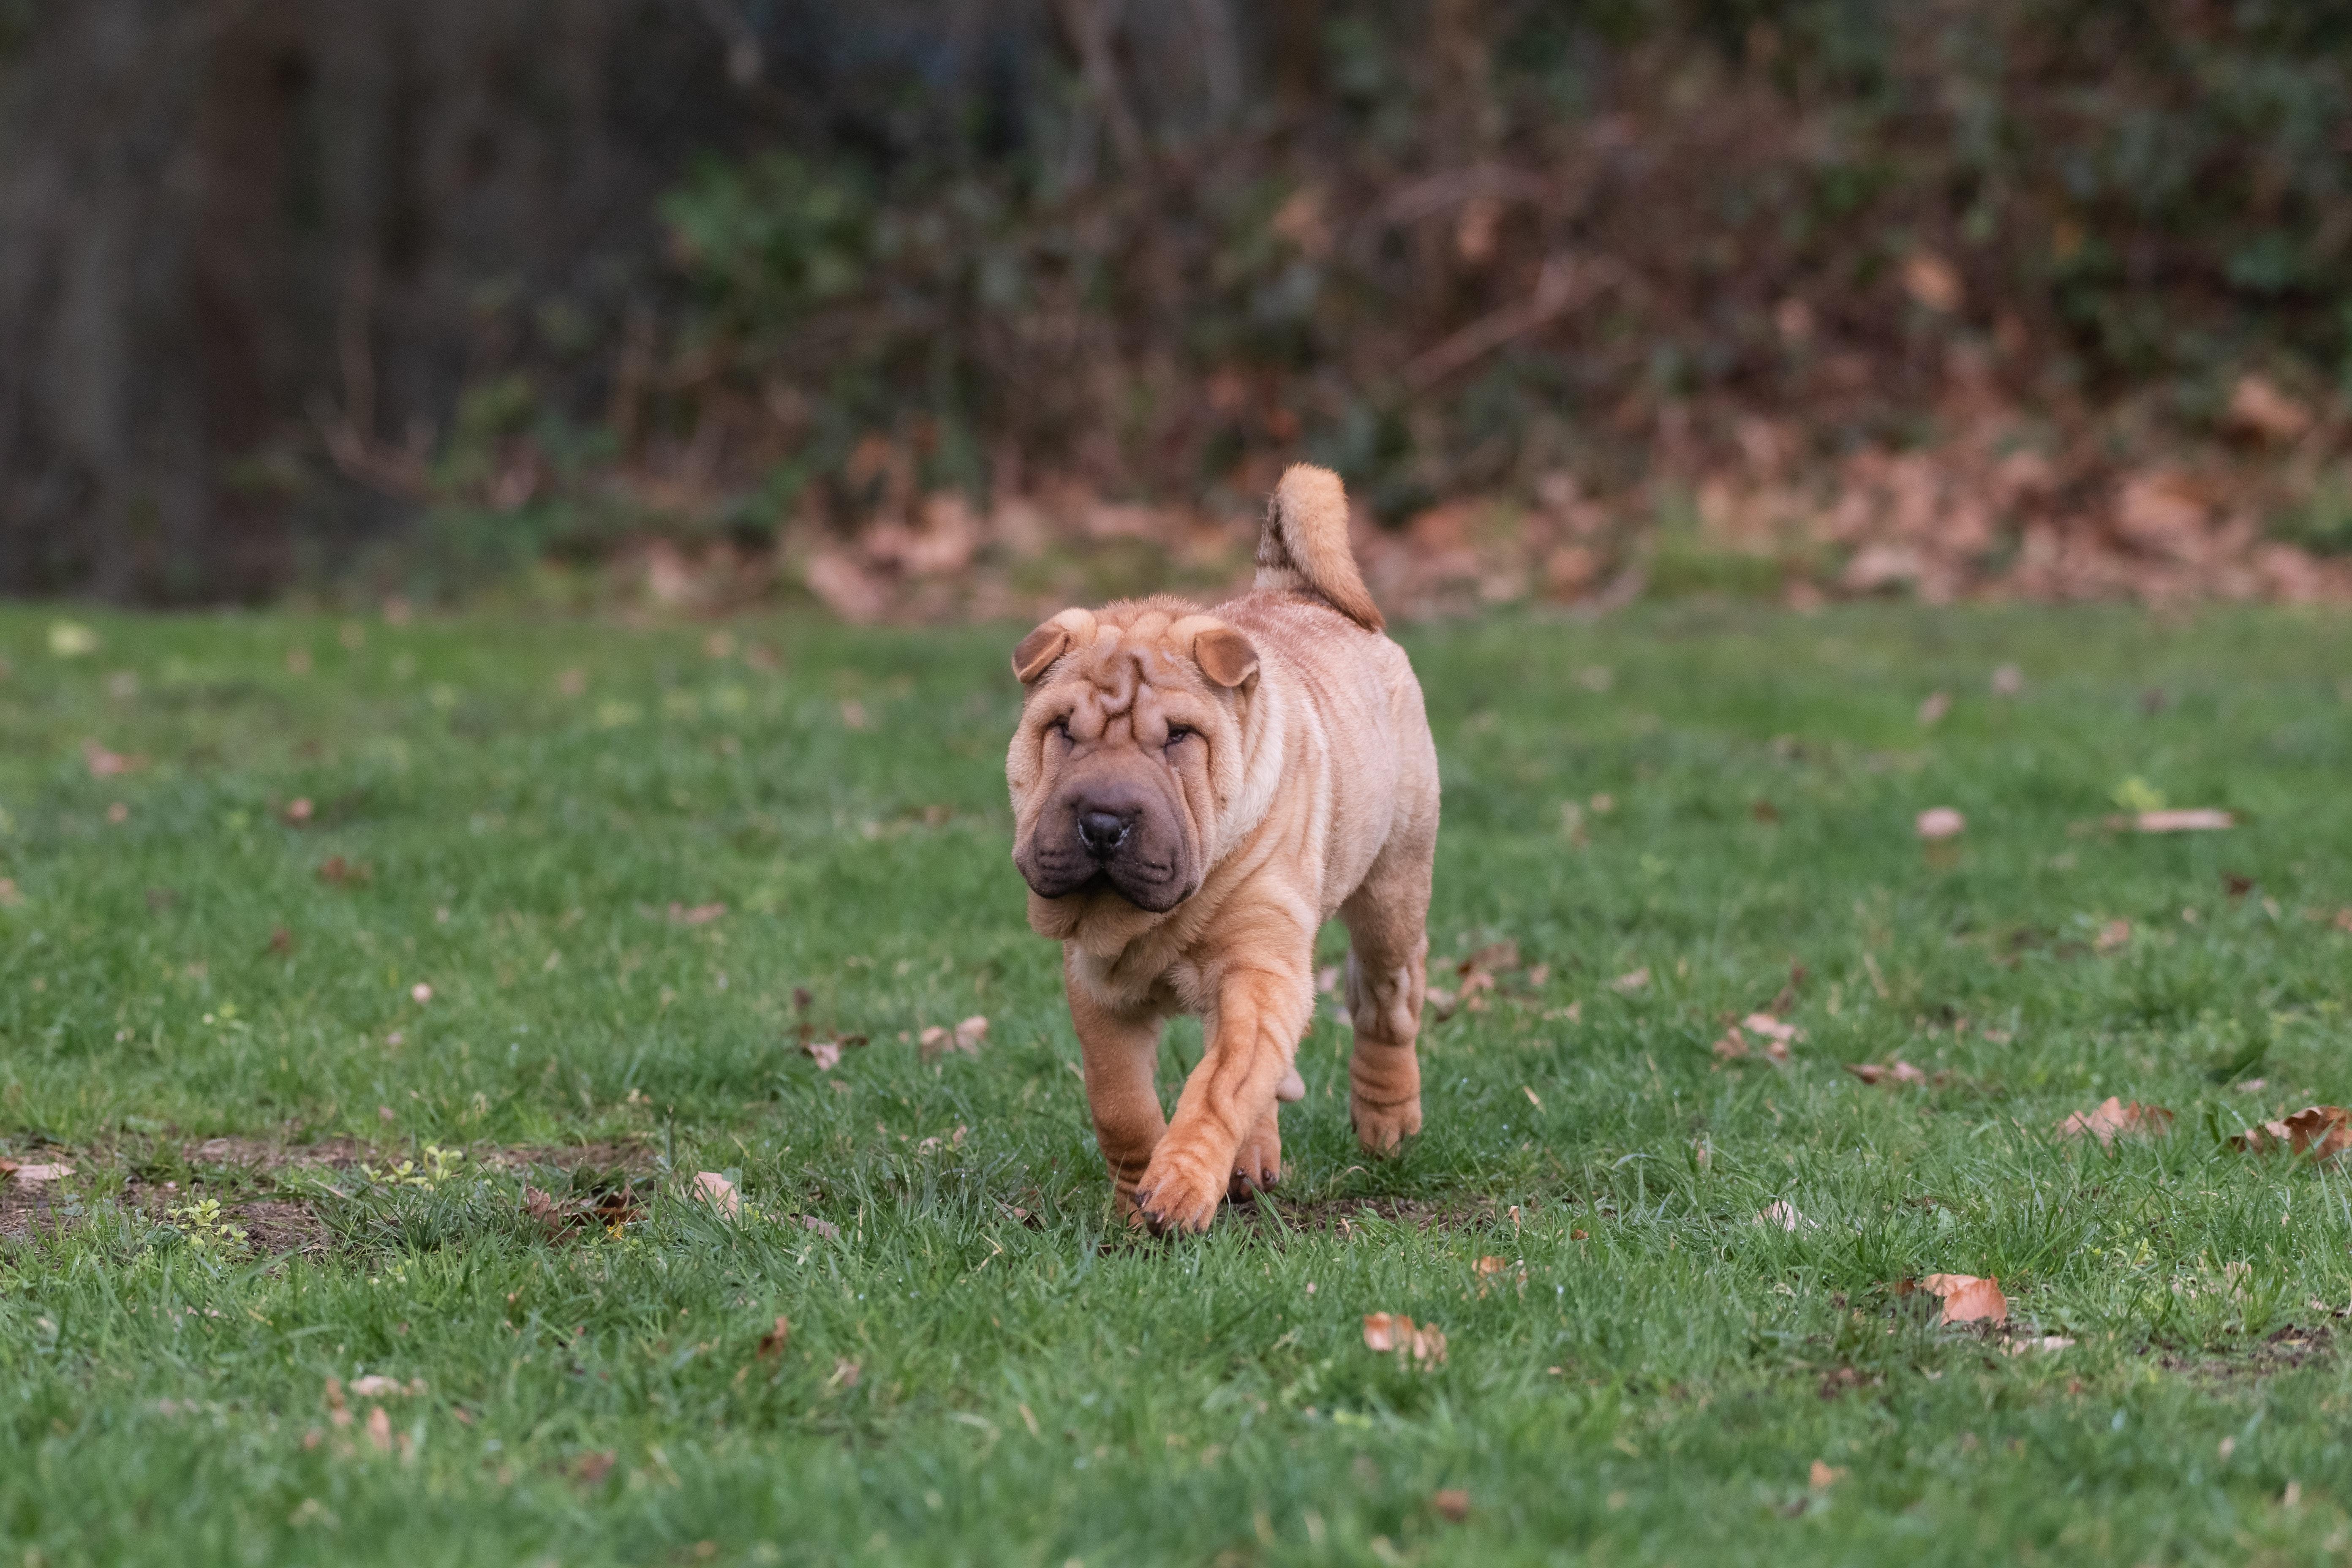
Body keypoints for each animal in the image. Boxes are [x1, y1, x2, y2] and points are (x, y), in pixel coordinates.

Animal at [1006, 464, 1439, 1232]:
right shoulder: (1097, 986)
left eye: (1178, 737)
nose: (1103, 821)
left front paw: (1179, 1187)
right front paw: (1135, 1200)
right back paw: (1254, 1162)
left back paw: (1386, 1122)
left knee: (1387, 995)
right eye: (1062, 731)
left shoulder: (1258, 969)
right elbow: (1121, 1102)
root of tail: (1294, 589)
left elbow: (1218, 1086)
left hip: (1393, 884)